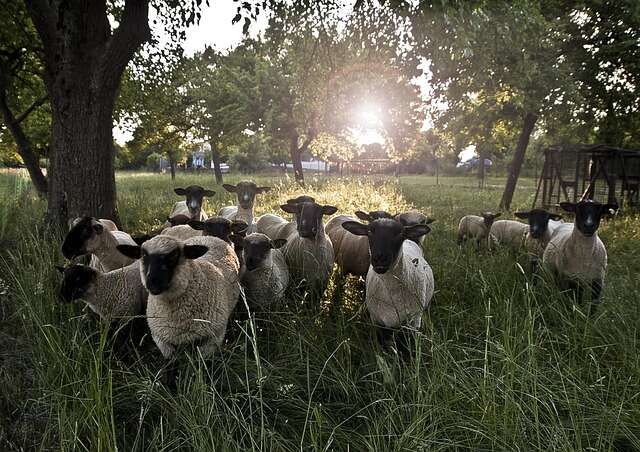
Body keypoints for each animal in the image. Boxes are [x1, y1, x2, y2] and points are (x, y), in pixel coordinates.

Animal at [341, 218, 434, 358]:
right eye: (369, 231)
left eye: (399, 233)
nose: (380, 258)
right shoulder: (378, 322)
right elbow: (383, 347)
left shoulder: (412, 322)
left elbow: (404, 349)